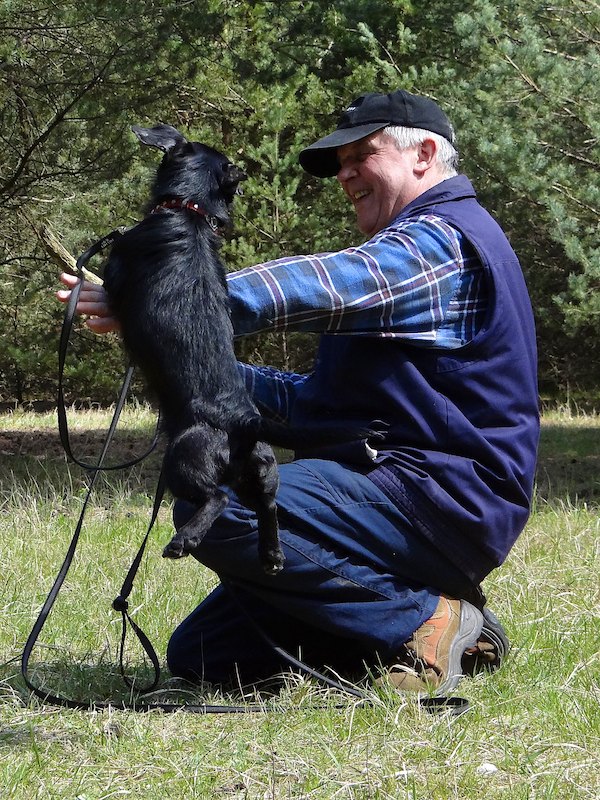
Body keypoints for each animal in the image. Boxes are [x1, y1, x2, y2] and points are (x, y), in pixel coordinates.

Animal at [102, 123, 380, 575]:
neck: (190, 210)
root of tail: (243, 421)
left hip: (183, 460)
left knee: (217, 498)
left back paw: (183, 541)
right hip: (262, 474)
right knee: (268, 507)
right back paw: (272, 556)